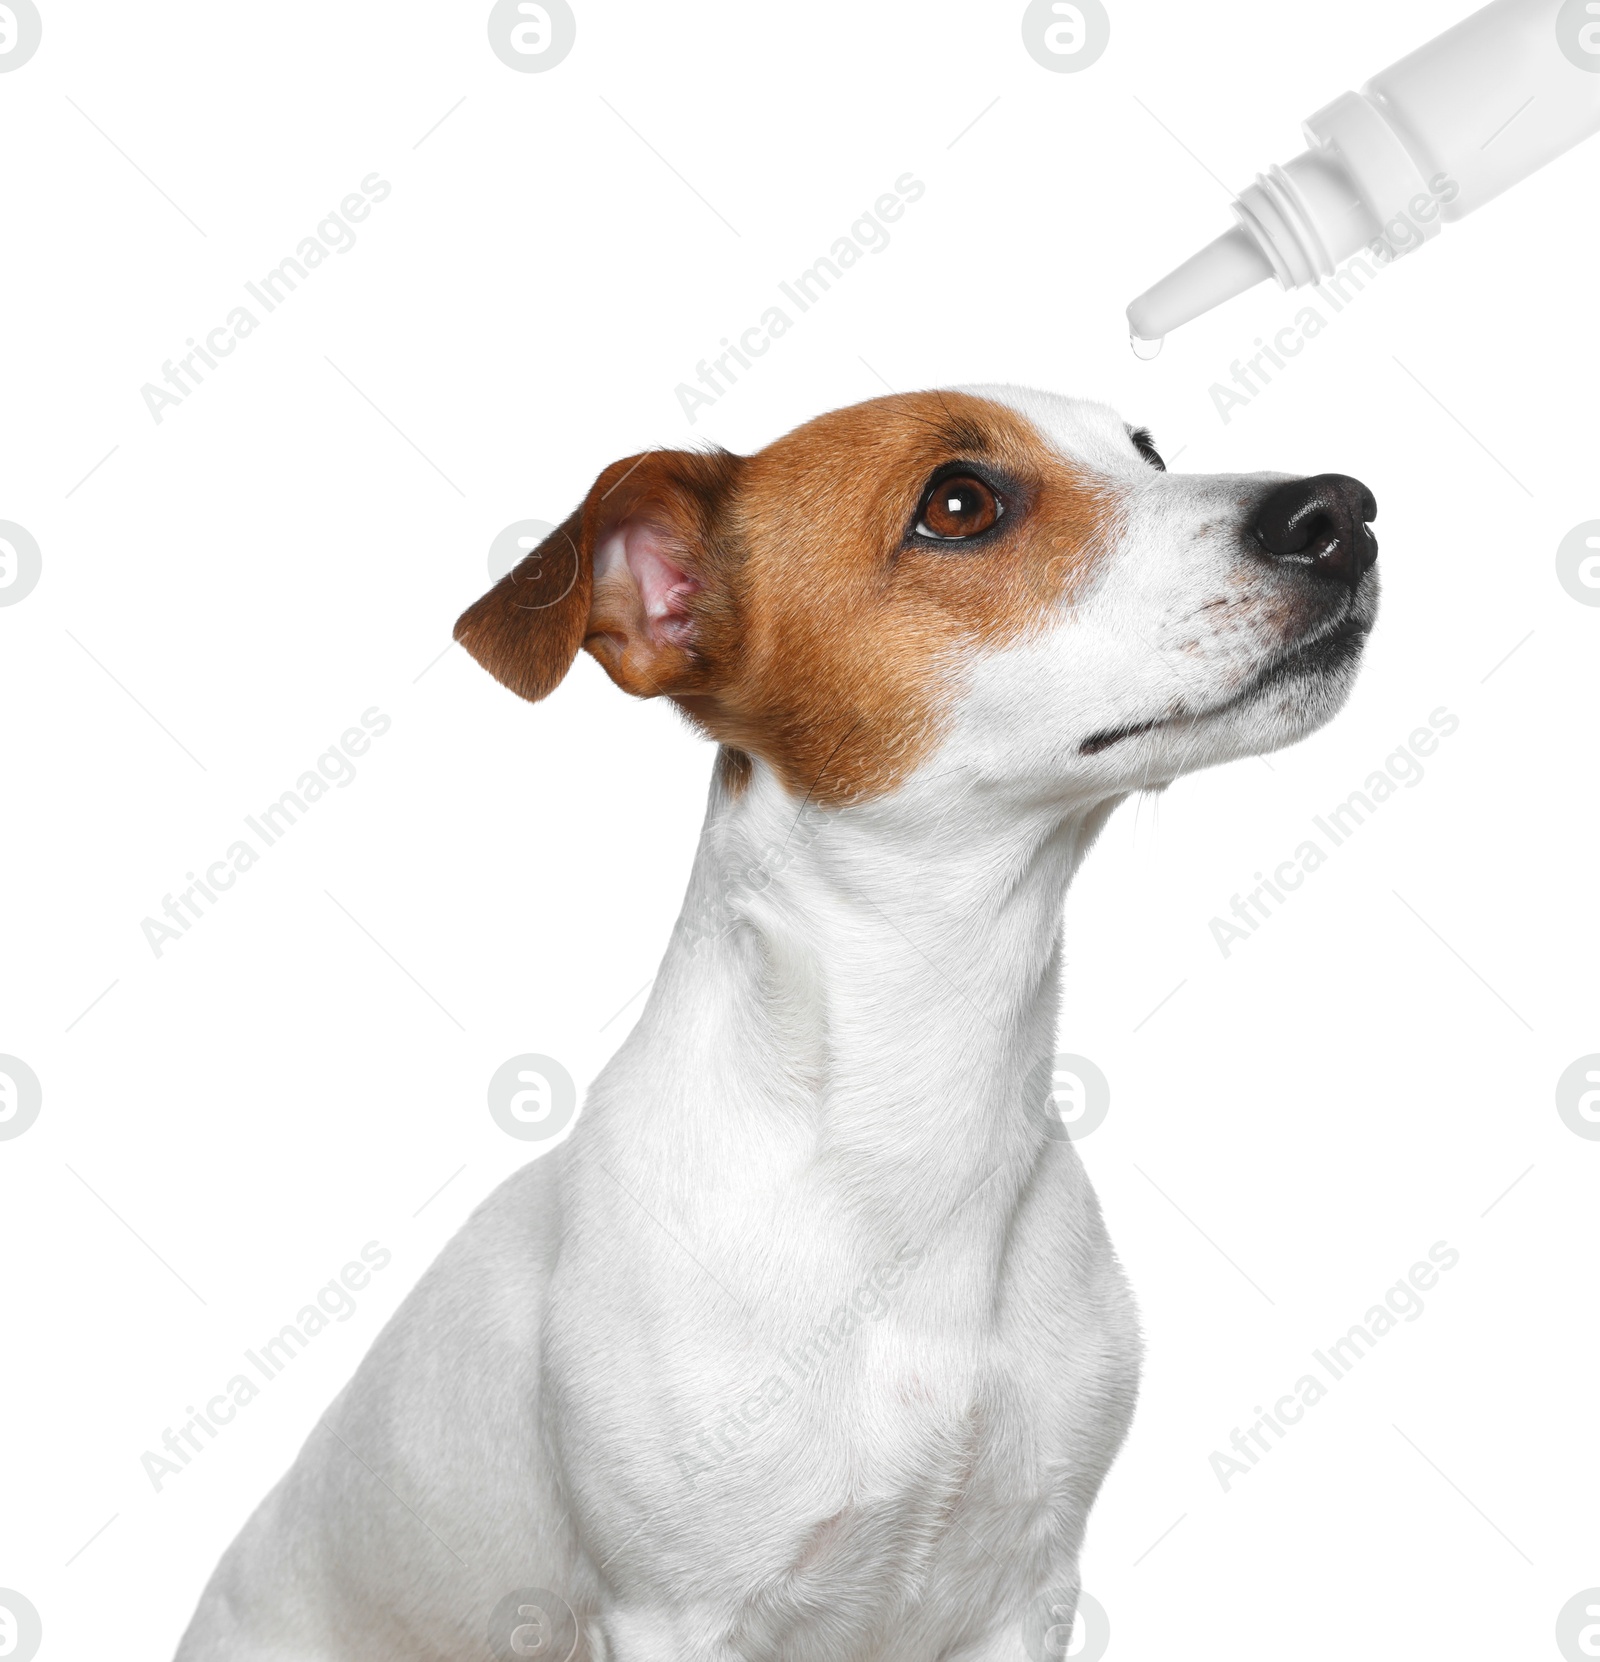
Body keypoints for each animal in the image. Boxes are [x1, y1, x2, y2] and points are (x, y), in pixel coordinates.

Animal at [175, 385, 1375, 1662]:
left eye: (1144, 451)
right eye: (959, 504)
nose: (1341, 511)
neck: (913, 1120)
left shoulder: (1025, 1591)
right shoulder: (677, 1614)